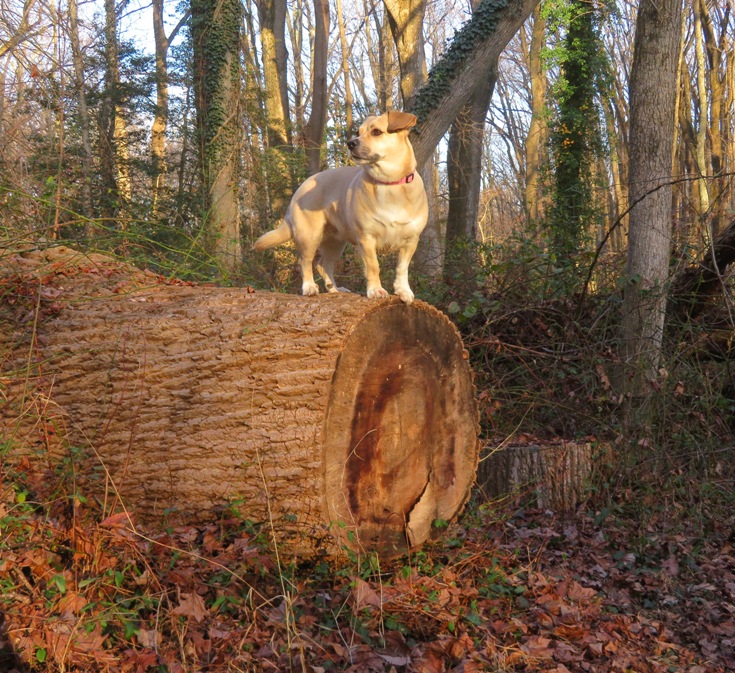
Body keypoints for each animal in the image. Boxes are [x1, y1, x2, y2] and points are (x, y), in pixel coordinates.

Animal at [254, 111, 428, 304]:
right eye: (358, 132)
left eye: (376, 132)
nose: (350, 143)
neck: (389, 184)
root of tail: (300, 188)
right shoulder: (366, 239)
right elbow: (373, 266)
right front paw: (375, 289)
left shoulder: (411, 240)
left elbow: (402, 268)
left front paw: (403, 290)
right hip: (309, 236)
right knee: (305, 262)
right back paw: (309, 287)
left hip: (335, 243)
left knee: (323, 265)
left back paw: (335, 290)